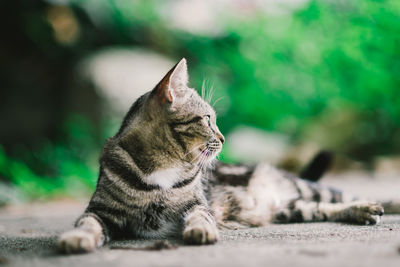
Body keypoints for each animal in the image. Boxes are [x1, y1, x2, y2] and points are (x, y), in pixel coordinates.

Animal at [57, 58, 392, 255]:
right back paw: (362, 211)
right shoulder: (101, 211)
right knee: (323, 208)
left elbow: (200, 216)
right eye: (208, 119)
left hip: (303, 187)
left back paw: (378, 205)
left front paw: (201, 230)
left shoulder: (197, 204)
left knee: (342, 194)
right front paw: (77, 238)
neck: (163, 166)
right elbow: (87, 223)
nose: (223, 138)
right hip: (291, 209)